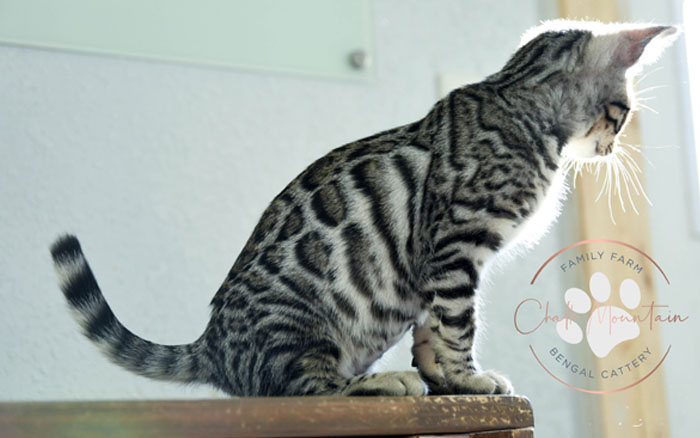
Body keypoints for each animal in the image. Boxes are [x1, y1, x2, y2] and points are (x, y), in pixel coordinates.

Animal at [51, 20, 677, 397]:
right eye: (623, 113)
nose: (613, 147)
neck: (518, 105)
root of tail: (213, 346)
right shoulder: (455, 244)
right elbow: (459, 324)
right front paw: (468, 379)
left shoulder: (435, 264)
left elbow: (431, 324)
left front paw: (442, 377)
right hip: (302, 328)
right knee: (308, 390)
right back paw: (381, 384)